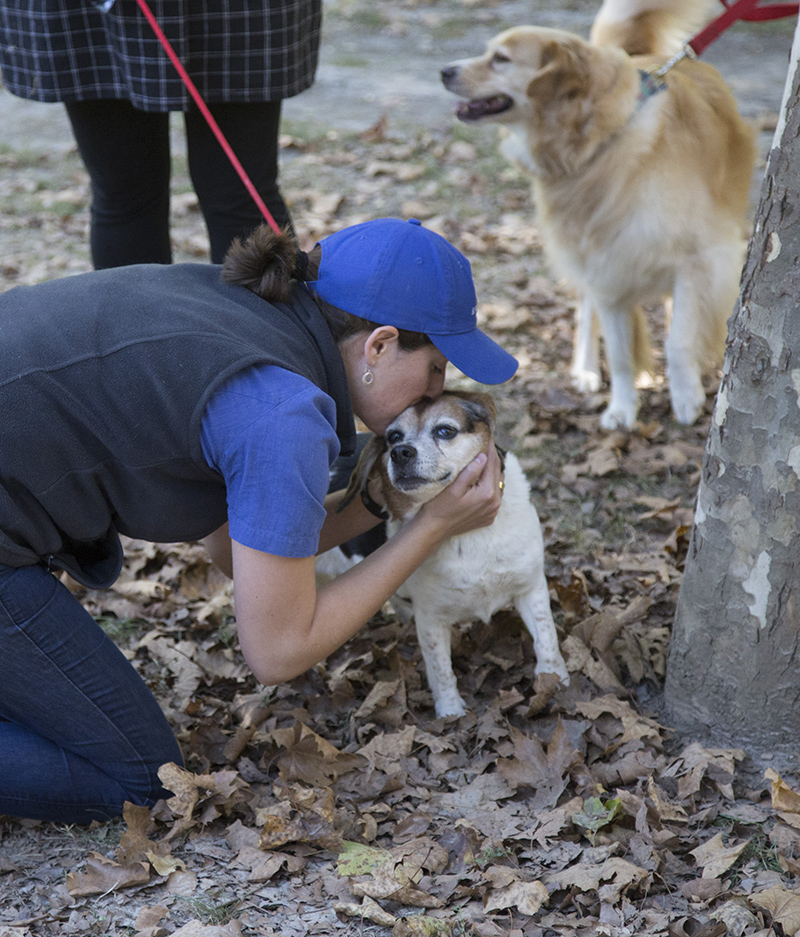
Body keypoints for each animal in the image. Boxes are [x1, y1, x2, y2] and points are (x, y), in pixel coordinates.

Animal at [338, 388, 568, 716]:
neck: (468, 536)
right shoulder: (431, 619)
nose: (400, 452)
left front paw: (555, 681)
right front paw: (451, 713)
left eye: (444, 431)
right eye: (394, 436)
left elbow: (547, 639)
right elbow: (441, 669)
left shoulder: (531, 587)